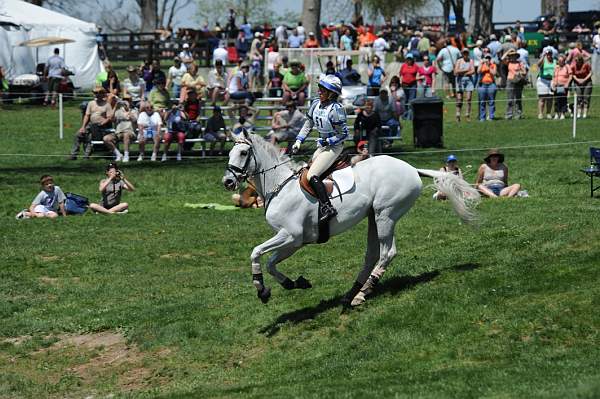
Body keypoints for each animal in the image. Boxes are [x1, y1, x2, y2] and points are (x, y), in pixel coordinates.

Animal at [223, 133, 480, 308]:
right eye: (229, 154)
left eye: (243, 153)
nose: (227, 182)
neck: (280, 186)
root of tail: (411, 168)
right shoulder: (295, 242)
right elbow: (270, 262)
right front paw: (293, 283)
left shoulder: (289, 235)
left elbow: (256, 253)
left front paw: (260, 288)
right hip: (373, 217)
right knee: (372, 255)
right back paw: (352, 292)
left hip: (385, 214)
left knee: (387, 253)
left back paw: (363, 293)